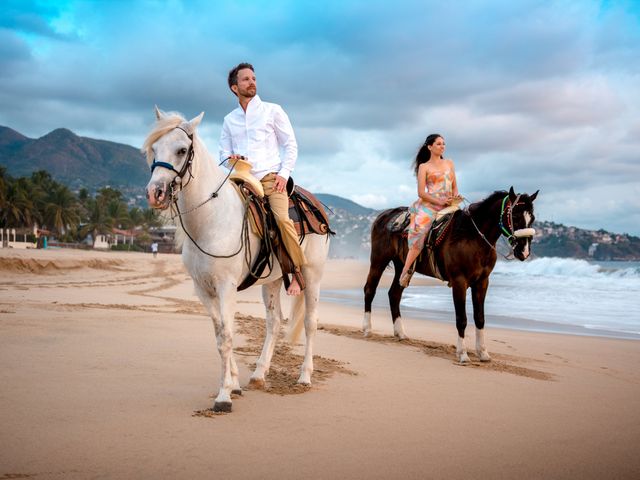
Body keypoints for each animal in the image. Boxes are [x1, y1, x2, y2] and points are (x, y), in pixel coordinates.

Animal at [144, 108, 330, 412]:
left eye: (182, 150)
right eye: (154, 149)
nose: (155, 193)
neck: (211, 220)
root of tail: (315, 205)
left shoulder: (226, 286)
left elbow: (227, 336)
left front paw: (224, 396)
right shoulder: (203, 289)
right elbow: (220, 333)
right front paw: (233, 384)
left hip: (313, 276)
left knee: (310, 322)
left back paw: (304, 376)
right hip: (273, 280)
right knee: (274, 322)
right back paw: (259, 374)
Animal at [362, 186, 536, 362]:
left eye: (532, 218)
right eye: (515, 216)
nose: (524, 251)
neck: (472, 237)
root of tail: (384, 215)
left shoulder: (482, 282)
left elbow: (480, 317)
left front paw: (483, 353)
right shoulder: (459, 281)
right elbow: (462, 319)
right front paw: (463, 354)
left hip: (403, 267)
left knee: (394, 294)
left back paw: (400, 333)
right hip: (378, 261)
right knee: (370, 289)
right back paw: (367, 329)